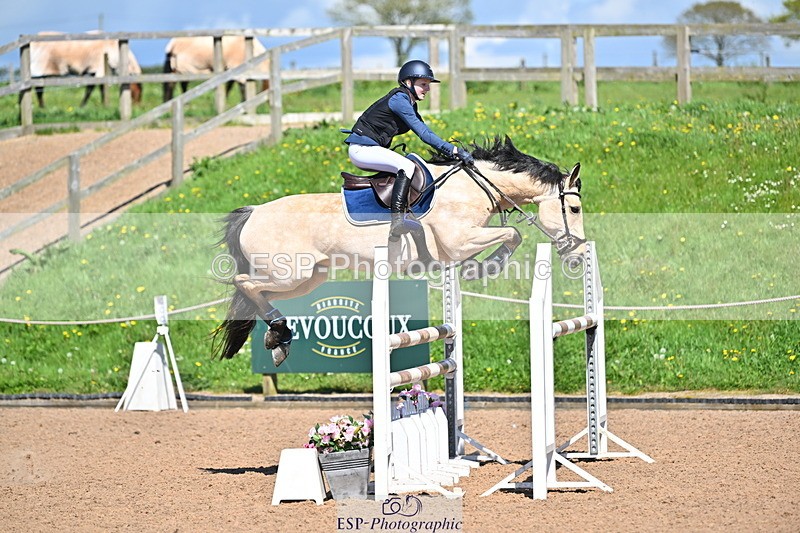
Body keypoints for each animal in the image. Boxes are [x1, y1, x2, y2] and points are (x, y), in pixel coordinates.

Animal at [213, 136, 586, 367]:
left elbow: (508, 236)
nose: (578, 256)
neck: (475, 188)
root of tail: (253, 212)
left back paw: (278, 339)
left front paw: (476, 268)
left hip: (309, 277)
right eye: (576, 209)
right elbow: (512, 234)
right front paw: (485, 268)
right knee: (245, 283)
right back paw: (279, 333)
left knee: (257, 291)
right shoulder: (459, 240)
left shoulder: (460, 244)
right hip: (290, 273)